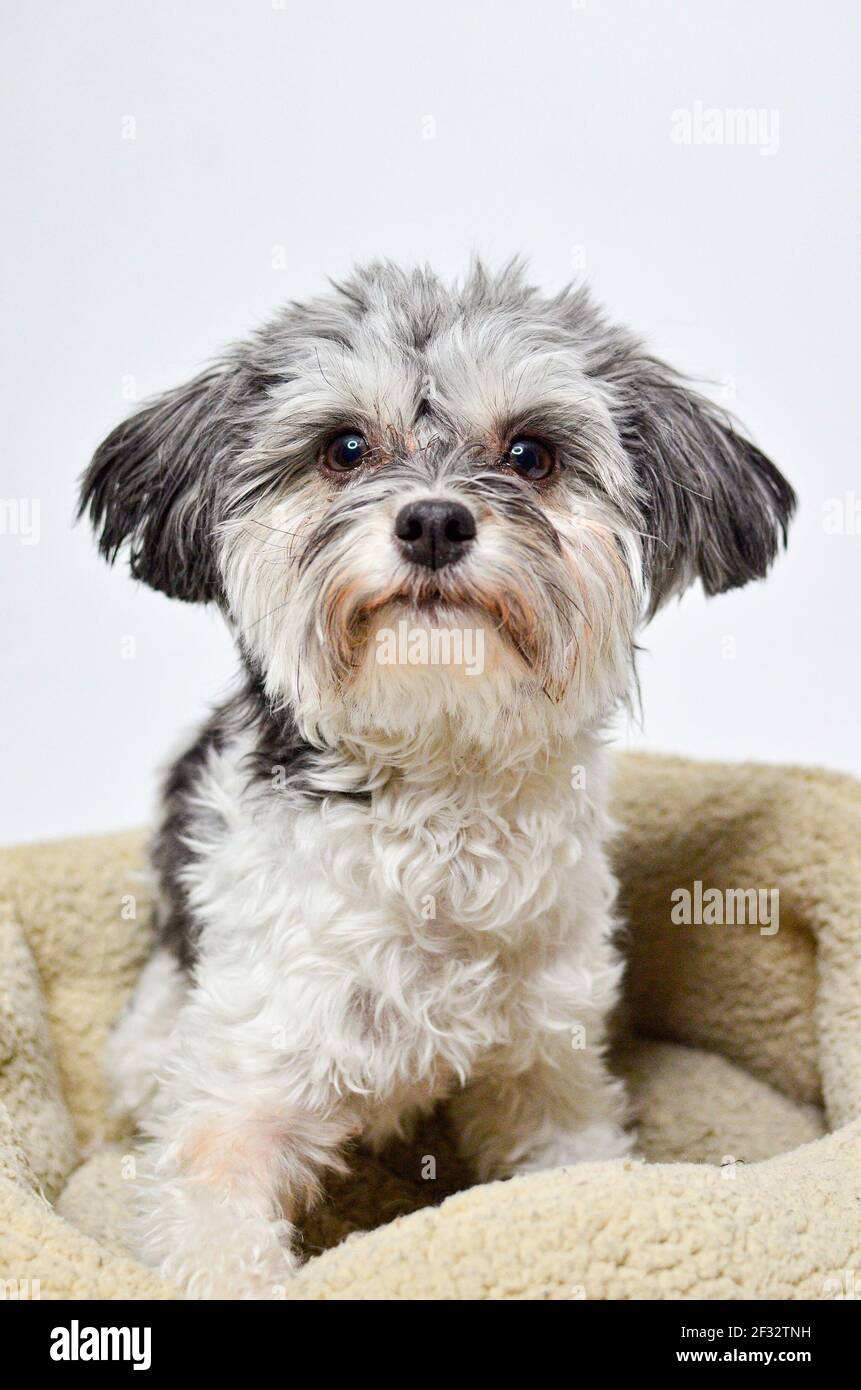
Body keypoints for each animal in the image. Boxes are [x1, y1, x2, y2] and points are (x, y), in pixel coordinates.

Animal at [80, 258, 795, 1289]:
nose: (431, 520)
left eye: (531, 454)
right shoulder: (231, 1105)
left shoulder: (549, 1079)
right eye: (343, 447)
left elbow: (574, 1178)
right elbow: (218, 1229)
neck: (437, 803)